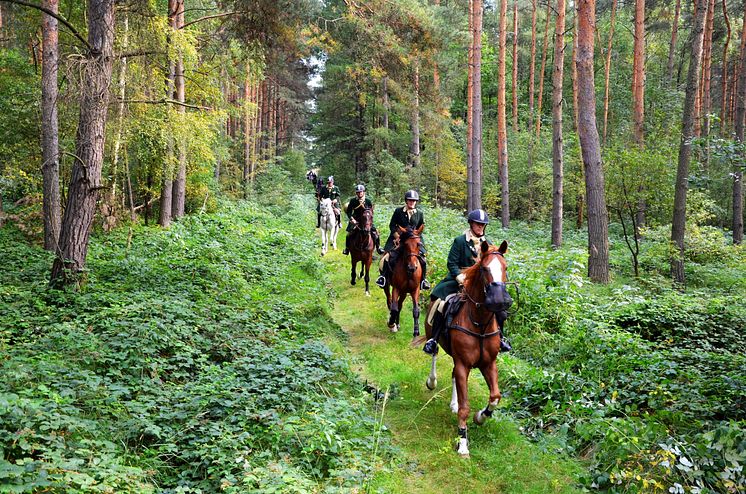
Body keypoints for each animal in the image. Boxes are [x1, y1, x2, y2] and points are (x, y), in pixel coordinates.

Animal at [416, 241, 508, 458]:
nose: (500, 301)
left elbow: (495, 396)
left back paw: (453, 403)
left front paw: (480, 417)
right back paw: (432, 381)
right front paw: (463, 443)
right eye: (484, 269)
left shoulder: (488, 364)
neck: (480, 323)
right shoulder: (463, 364)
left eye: (505, 268)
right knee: (434, 355)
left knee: (453, 376)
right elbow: (465, 408)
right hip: (434, 337)